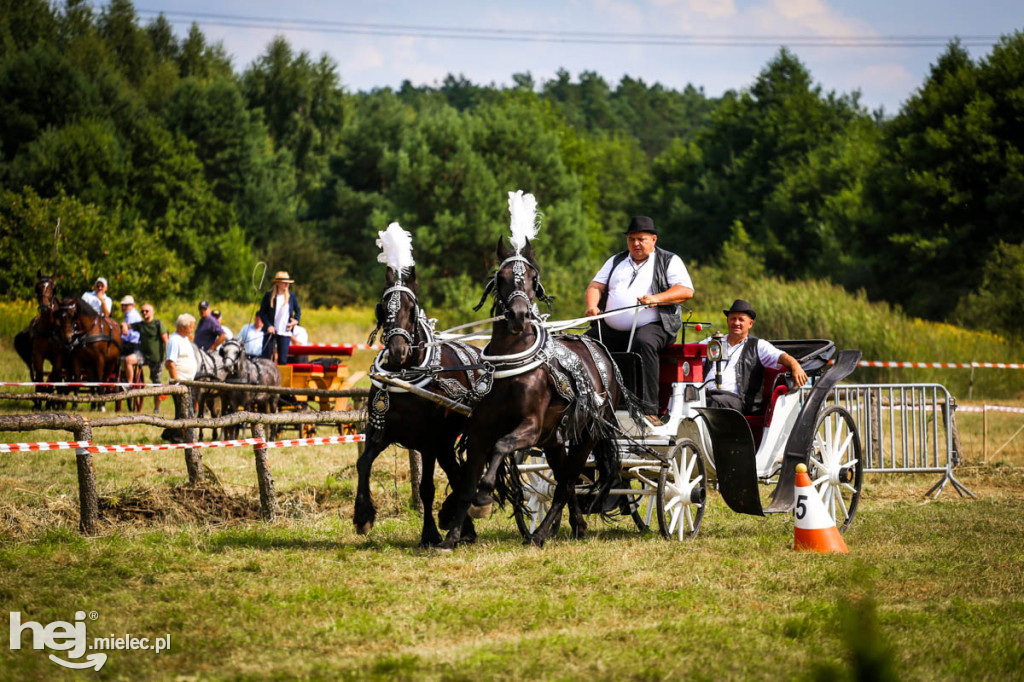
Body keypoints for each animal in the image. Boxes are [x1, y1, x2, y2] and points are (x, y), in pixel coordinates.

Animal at [356, 262, 487, 544]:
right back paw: (462, 525)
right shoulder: (380, 431)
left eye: (411, 309)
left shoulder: (429, 441)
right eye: (384, 307)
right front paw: (362, 516)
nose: (398, 351)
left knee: (463, 472)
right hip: (446, 441)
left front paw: (429, 534)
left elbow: (426, 487)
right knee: (457, 472)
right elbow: (363, 463)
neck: (405, 376)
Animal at [440, 236, 638, 548]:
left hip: (586, 437)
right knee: (564, 480)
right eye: (500, 277)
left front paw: (483, 499)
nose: (518, 315)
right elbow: (468, 481)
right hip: (554, 441)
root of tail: (602, 353)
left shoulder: (530, 428)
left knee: (566, 484)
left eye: (534, 278)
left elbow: (501, 448)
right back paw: (576, 525)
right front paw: (452, 535)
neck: (512, 366)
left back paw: (540, 534)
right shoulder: (480, 430)